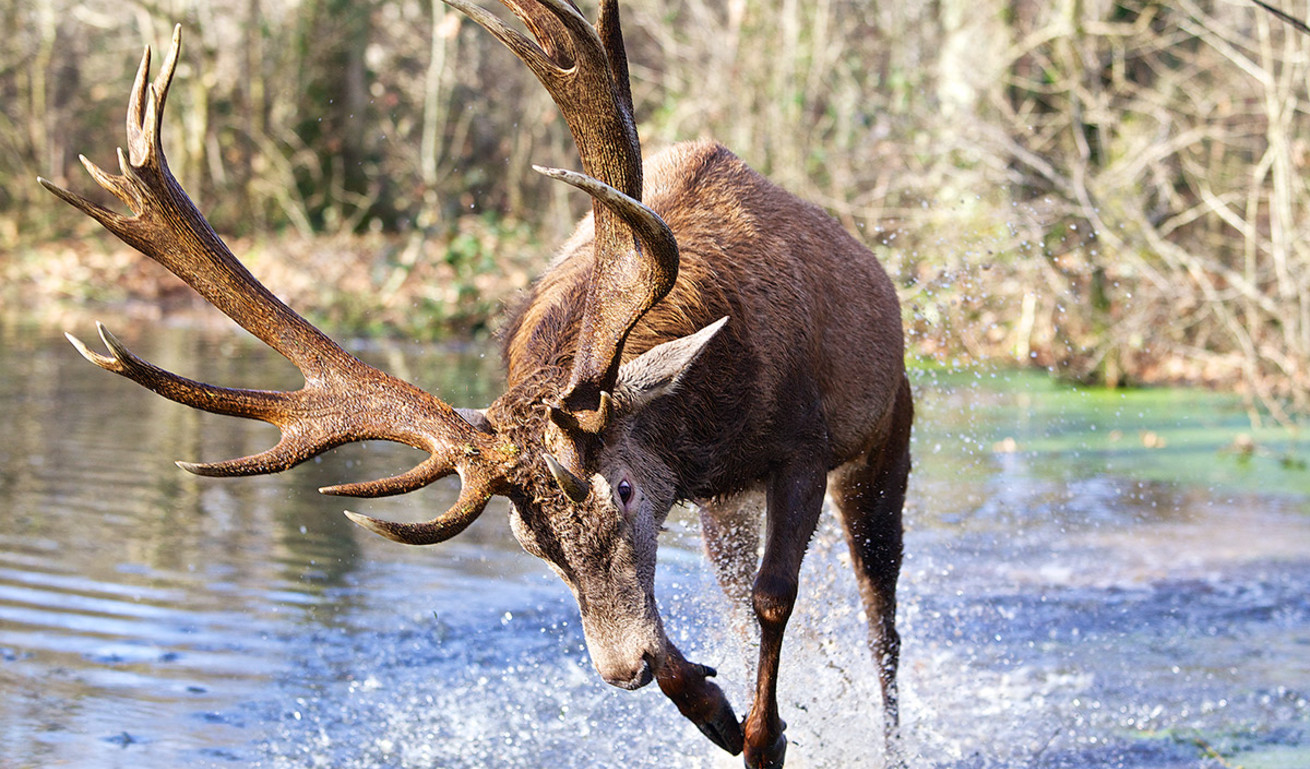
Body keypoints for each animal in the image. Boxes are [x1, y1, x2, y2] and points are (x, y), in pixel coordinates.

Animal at [38, 2, 912, 767]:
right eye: (530, 539)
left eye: (624, 491)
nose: (618, 669)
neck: (711, 417)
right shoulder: (697, 489)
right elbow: (704, 621)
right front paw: (714, 707)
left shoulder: (804, 442)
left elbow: (774, 594)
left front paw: (767, 736)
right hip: (730, 507)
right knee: (745, 596)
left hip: (886, 429)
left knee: (879, 612)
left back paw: (885, 730)